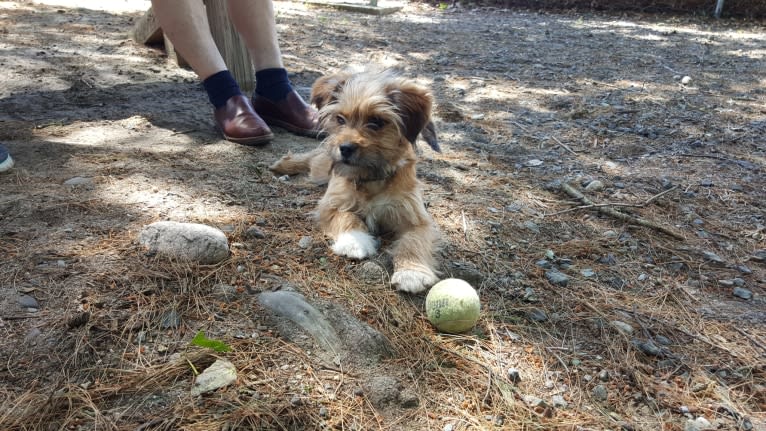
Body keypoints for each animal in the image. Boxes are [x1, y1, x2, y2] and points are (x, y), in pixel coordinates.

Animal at [270, 69, 440, 294]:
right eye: (340, 119)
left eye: (376, 122)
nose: (345, 148)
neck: (371, 178)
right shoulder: (330, 204)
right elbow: (347, 217)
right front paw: (354, 241)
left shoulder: (416, 218)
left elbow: (414, 241)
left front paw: (412, 272)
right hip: (320, 169)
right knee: (311, 158)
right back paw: (284, 165)